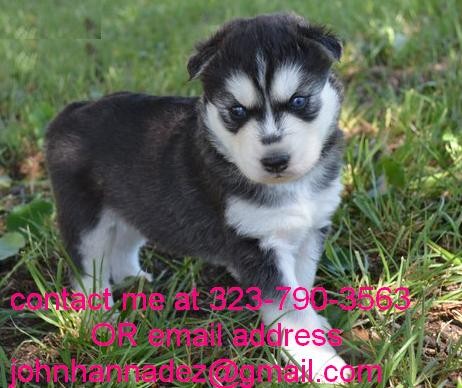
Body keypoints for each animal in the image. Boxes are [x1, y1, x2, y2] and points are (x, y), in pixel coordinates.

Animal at [47, 12, 348, 378]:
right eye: (237, 111)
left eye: (299, 101)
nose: (275, 161)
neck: (291, 187)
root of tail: (73, 111)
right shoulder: (256, 245)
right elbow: (291, 310)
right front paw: (324, 365)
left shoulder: (310, 231)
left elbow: (302, 286)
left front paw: (317, 327)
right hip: (85, 220)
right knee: (87, 272)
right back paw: (100, 321)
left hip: (139, 206)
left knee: (123, 245)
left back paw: (135, 280)